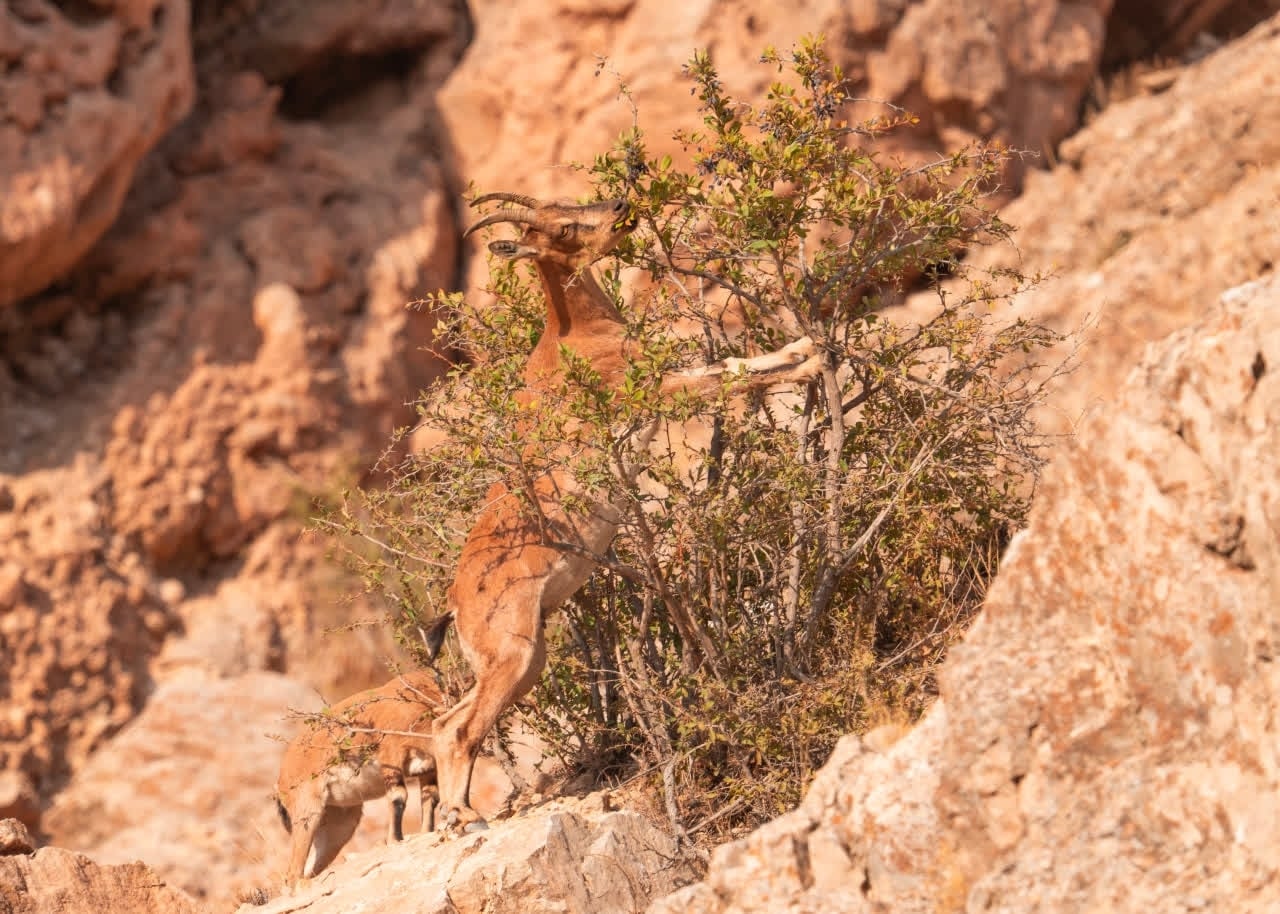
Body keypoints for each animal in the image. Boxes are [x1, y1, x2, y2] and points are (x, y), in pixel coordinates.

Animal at [430, 193, 823, 832]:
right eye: (565, 226)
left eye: (568, 204)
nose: (618, 206)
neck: (576, 336)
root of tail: (456, 605)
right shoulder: (649, 391)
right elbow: (721, 378)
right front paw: (808, 363)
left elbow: (726, 369)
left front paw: (805, 349)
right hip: (512, 655)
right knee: (463, 729)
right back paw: (467, 816)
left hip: (524, 659)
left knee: (445, 724)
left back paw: (458, 812)